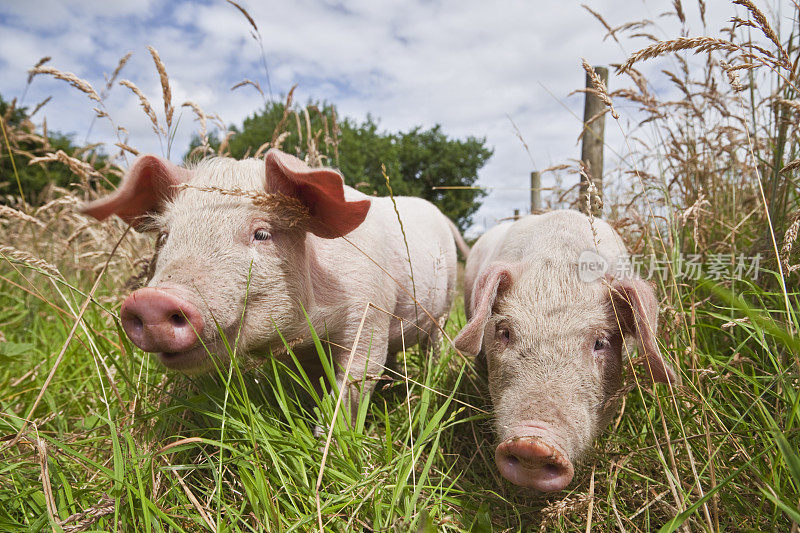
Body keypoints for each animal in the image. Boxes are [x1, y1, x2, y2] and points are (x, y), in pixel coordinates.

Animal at [79, 149, 468, 416]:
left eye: (262, 233)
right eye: (164, 236)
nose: (151, 300)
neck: (312, 328)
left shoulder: (369, 312)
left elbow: (356, 379)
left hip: (445, 306)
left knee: (434, 345)